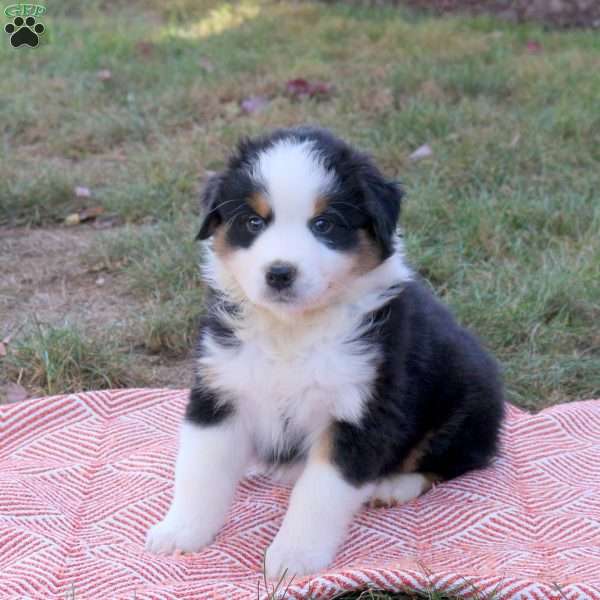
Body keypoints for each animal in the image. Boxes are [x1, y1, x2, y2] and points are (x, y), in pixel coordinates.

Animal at [146, 125, 506, 576]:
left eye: (324, 224)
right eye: (253, 221)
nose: (280, 273)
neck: (292, 330)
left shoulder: (361, 410)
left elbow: (319, 493)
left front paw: (293, 556)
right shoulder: (220, 388)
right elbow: (200, 470)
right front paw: (180, 530)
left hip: (465, 397)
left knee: (459, 459)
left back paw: (393, 485)